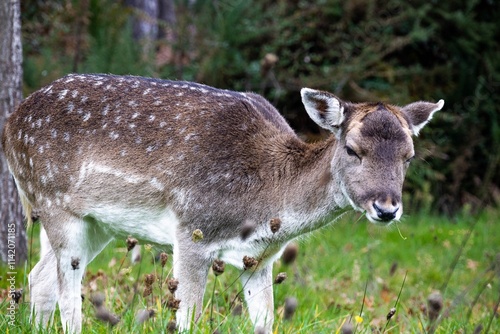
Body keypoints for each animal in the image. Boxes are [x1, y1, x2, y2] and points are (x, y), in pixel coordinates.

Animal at [1, 74, 444, 332]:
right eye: (353, 150)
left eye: (409, 156)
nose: (386, 208)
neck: (266, 201)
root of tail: (9, 126)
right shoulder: (192, 230)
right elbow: (188, 322)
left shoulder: (260, 258)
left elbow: (266, 323)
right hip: (55, 202)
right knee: (66, 294)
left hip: (97, 223)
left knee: (39, 279)